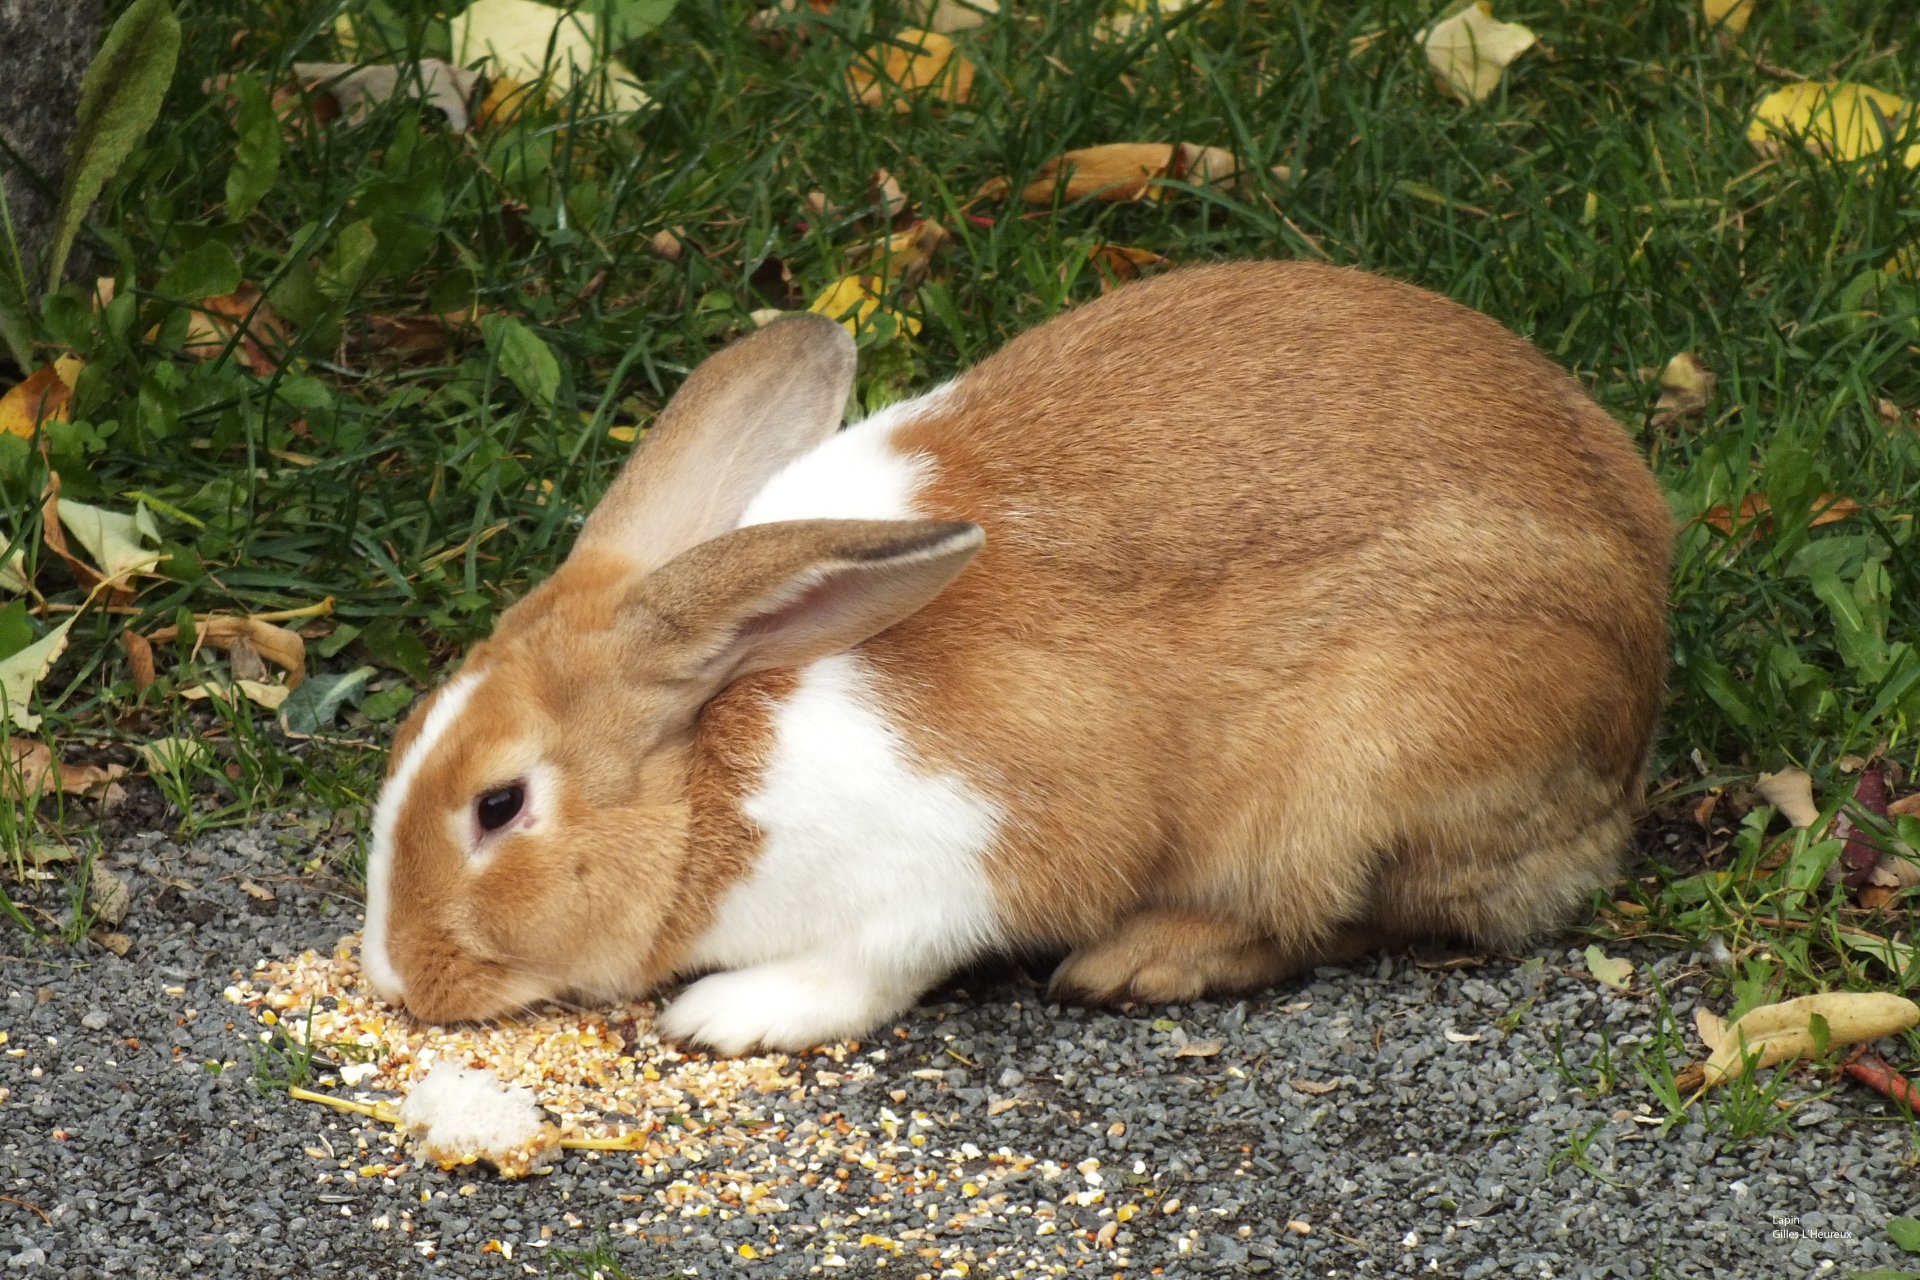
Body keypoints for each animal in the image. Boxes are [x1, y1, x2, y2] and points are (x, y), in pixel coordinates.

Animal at [353, 257, 1674, 1051]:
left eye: (501, 804)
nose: (397, 978)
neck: (716, 748)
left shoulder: (955, 862)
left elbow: (871, 964)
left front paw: (727, 1015)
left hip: (1358, 776)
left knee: (1341, 917)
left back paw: (1135, 964)